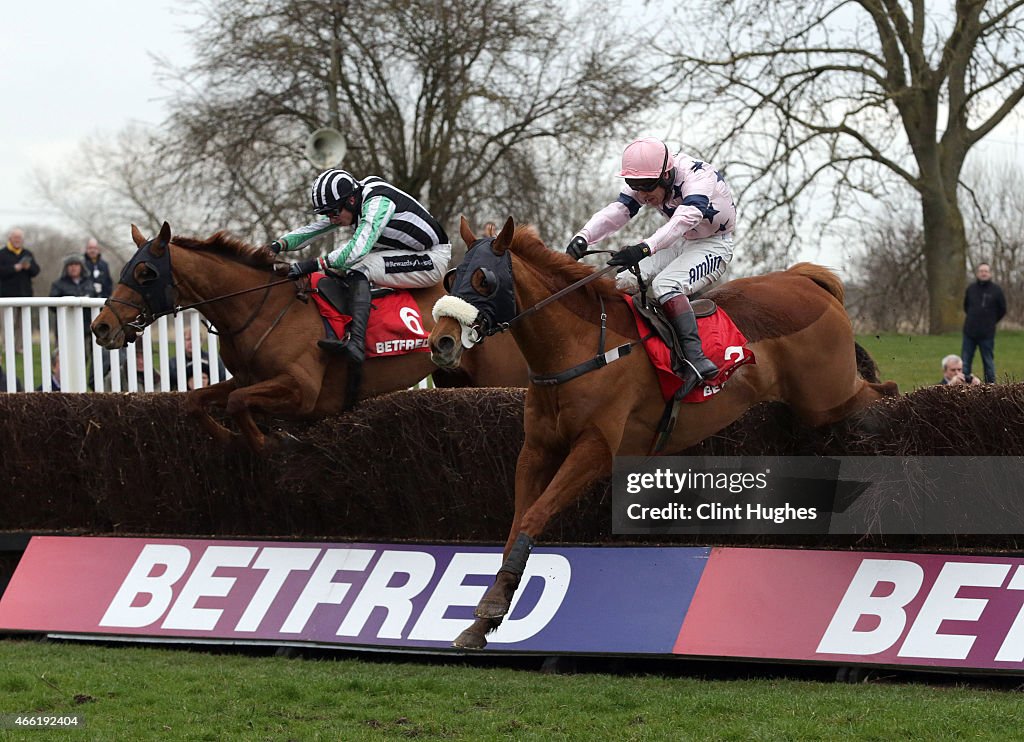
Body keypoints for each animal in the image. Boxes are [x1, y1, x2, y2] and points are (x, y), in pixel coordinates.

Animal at [90, 220, 528, 452]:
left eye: (146, 272)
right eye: (126, 267)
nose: (101, 327)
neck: (261, 306)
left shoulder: (303, 391)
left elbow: (236, 402)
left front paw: (269, 440)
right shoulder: (248, 377)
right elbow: (197, 401)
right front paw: (229, 437)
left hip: (500, 379)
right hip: (454, 378)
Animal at [428, 215, 892, 646]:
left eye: (483, 279)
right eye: (452, 276)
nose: (441, 343)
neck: (579, 348)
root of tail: (804, 279)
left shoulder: (596, 449)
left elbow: (537, 513)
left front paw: (492, 606)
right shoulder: (537, 450)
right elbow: (516, 524)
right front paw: (484, 617)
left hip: (827, 398)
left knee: (883, 393)